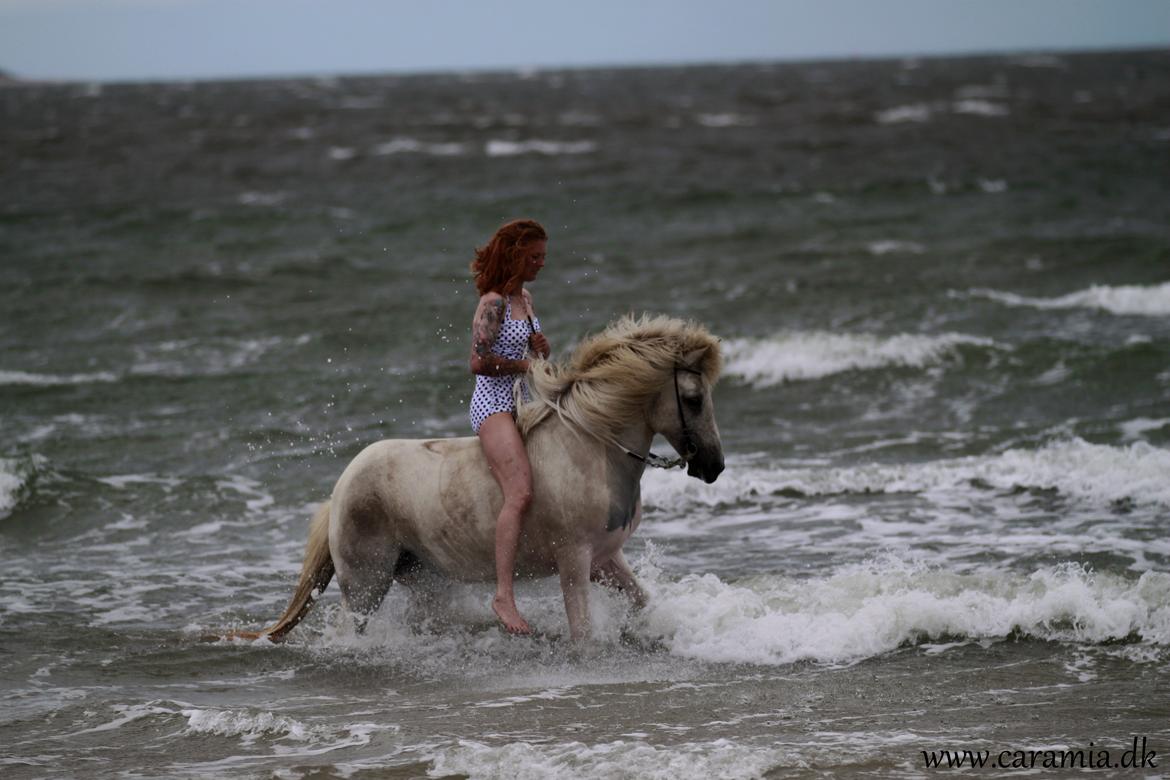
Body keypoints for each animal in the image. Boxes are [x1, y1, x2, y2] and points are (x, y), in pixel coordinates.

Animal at [224, 313, 720, 645]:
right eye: (694, 398)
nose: (714, 466)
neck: (587, 448)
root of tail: (339, 489)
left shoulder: (605, 559)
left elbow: (642, 603)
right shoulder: (575, 561)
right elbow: (581, 633)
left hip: (422, 579)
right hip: (365, 584)